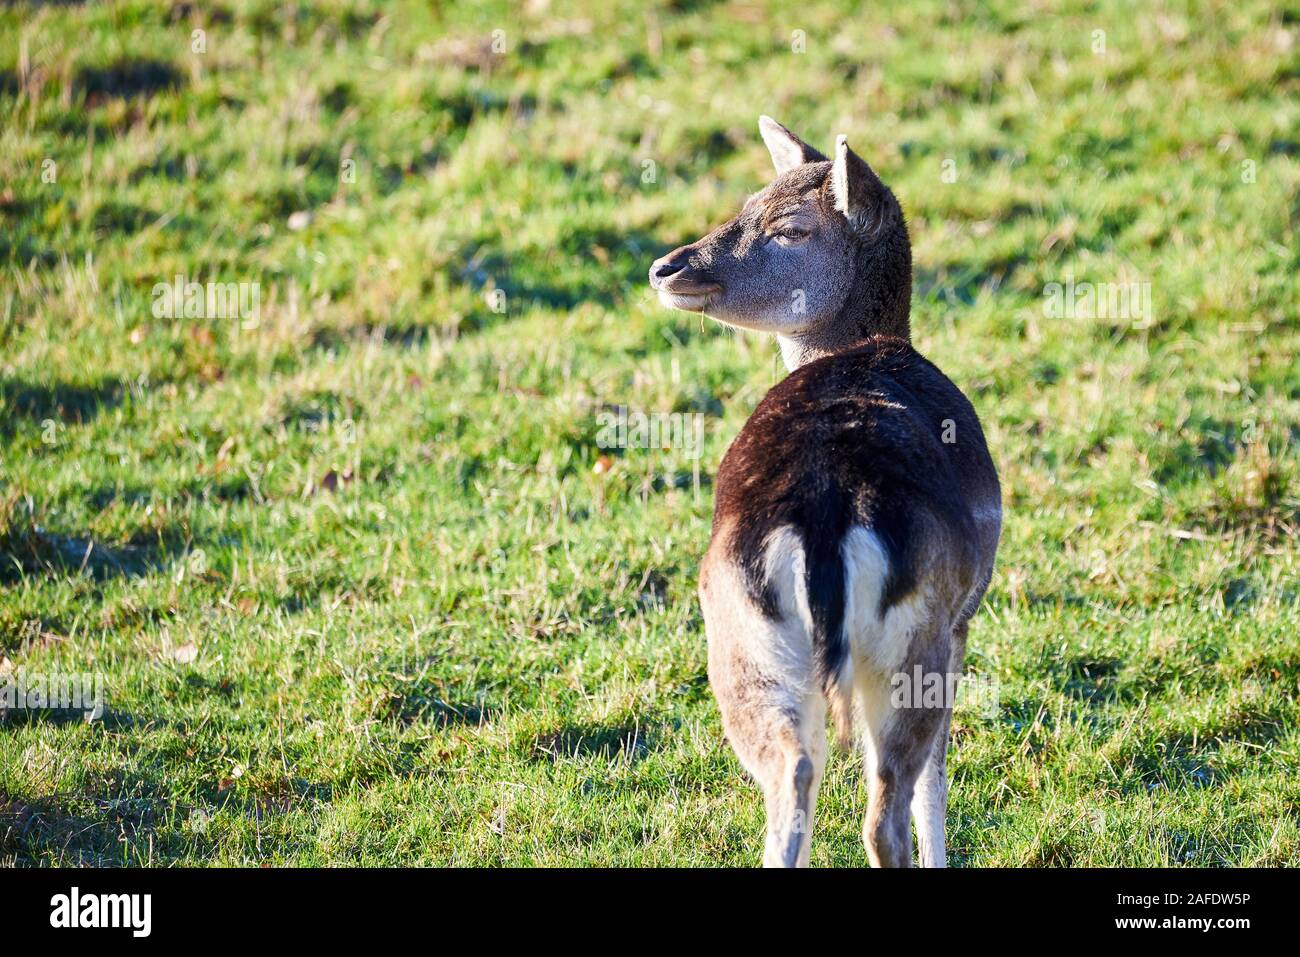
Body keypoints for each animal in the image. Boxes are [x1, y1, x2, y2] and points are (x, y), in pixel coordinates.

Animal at [648, 117, 1001, 867]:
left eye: (785, 225)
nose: (667, 267)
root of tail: (820, 523)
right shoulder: (966, 614)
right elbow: (937, 780)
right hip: (915, 643)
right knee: (886, 804)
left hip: (742, 647)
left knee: (792, 779)